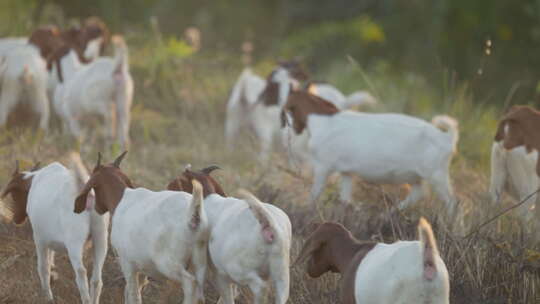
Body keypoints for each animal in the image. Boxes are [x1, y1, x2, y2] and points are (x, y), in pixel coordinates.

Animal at [0, 153, 108, 304]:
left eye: (15, 195)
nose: (16, 218)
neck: (36, 180)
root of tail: (86, 192)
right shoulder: (50, 240)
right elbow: (50, 262)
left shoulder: (40, 239)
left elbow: (43, 267)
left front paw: (47, 297)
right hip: (101, 239)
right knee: (97, 279)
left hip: (74, 242)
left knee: (81, 272)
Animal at [75, 152, 209, 304]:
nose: (97, 208)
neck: (121, 199)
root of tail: (193, 216)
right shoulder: (143, 269)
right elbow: (130, 293)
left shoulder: (127, 263)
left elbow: (134, 295)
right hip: (199, 263)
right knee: (199, 294)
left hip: (168, 263)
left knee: (190, 283)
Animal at [278, 90, 460, 218]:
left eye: (287, 107)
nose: (288, 128)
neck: (323, 120)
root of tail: (447, 138)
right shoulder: (346, 172)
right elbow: (345, 199)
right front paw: (355, 211)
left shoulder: (324, 166)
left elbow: (315, 193)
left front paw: (305, 212)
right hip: (417, 176)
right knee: (418, 193)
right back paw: (388, 214)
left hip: (437, 174)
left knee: (452, 202)